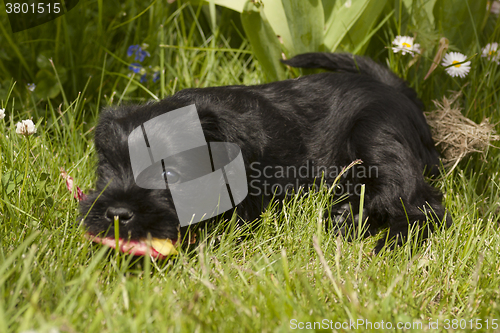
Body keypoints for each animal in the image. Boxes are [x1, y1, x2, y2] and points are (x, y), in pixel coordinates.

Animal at [80, 52, 452, 254]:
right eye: (106, 170)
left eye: (168, 175)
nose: (115, 214)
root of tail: (397, 91)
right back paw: (346, 215)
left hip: (375, 133)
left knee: (422, 205)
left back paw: (389, 240)